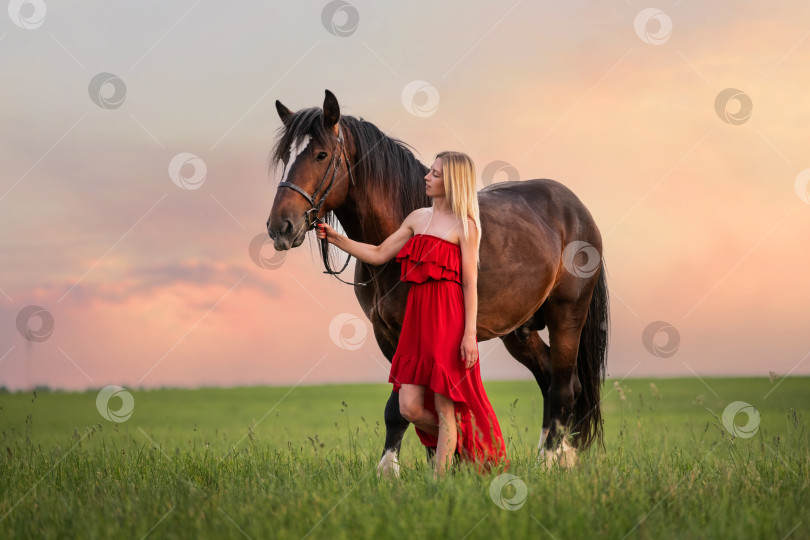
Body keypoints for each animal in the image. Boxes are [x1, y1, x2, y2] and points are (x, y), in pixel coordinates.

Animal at [266, 89, 608, 476]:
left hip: (567, 316)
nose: (280, 227)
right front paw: (443, 465)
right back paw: (561, 457)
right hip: (519, 331)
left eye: (321, 154)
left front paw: (390, 470)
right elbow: (414, 403)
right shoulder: (388, 335)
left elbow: (399, 407)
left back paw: (548, 463)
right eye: (285, 157)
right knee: (553, 380)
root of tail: (576, 209)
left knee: (564, 388)